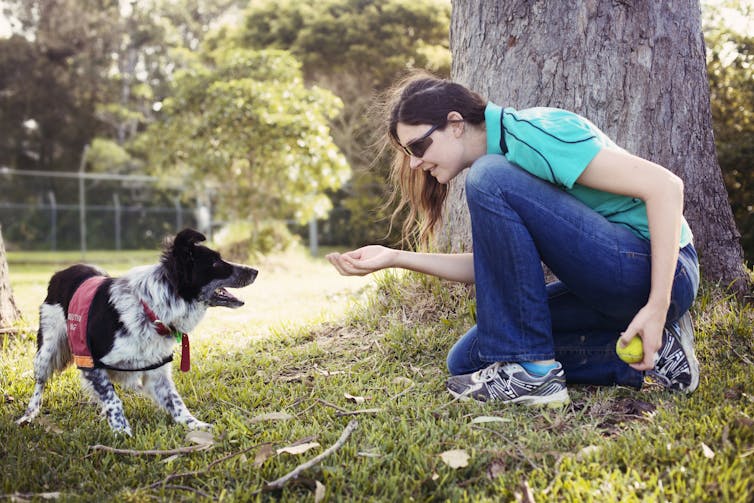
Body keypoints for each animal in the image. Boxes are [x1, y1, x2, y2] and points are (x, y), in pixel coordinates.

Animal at [16, 229, 258, 438]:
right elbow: (113, 400)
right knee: (40, 383)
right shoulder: (90, 362)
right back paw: (29, 415)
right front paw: (122, 432)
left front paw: (195, 425)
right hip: (47, 348)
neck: (150, 309)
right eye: (216, 263)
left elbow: (176, 401)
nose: (255, 271)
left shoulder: (157, 371)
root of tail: (61, 272)